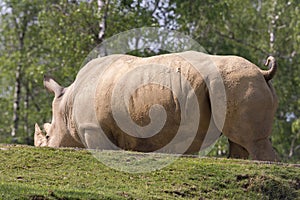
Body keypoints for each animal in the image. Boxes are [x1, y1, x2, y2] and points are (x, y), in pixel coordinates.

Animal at [34, 51, 278, 161]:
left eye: (48, 135)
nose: (48, 147)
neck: (66, 106)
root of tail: (263, 72)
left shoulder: (92, 129)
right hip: (234, 83)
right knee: (239, 140)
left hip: (236, 82)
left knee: (251, 140)